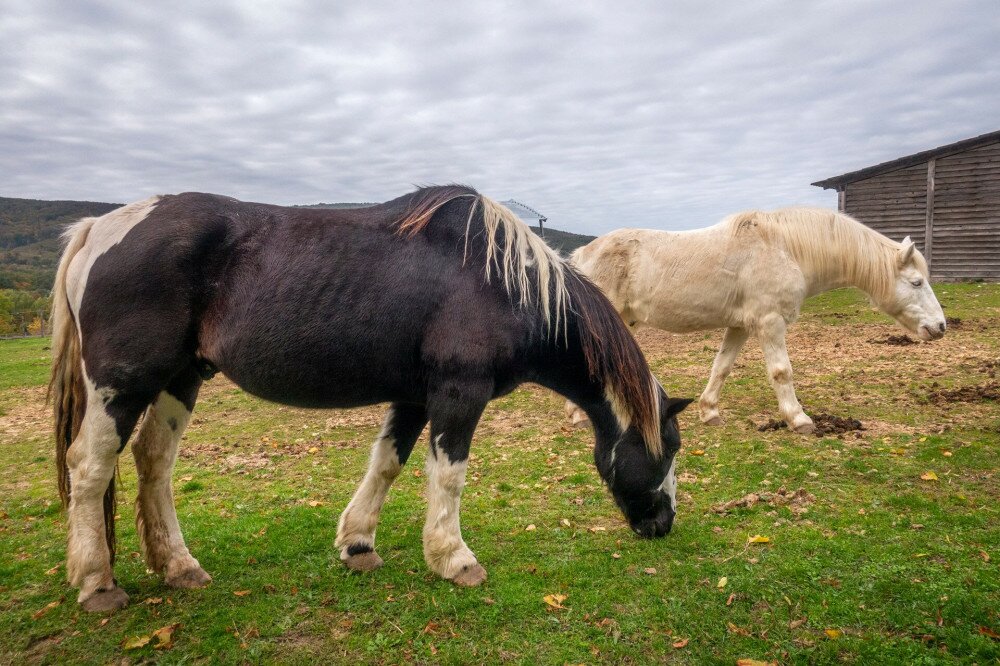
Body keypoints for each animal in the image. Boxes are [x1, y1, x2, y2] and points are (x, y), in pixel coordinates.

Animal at [50, 184, 692, 608]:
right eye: (670, 450)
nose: (663, 524)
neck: (503, 283)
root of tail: (96, 229)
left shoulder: (414, 398)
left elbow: (386, 464)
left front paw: (358, 543)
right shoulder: (459, 394)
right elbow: (449, 475)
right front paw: (454, 558)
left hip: (180, 378)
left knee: (153, 463)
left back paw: (179, 566)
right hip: (123, 383)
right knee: (89, 468)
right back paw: (97, 582)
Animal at [568, 209, 948, 436]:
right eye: (917, 282)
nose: (941, 327)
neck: (784, 248)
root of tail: (582, 254)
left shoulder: (740, 326)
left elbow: (721, 367)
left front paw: (709, 412)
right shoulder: (769, 323)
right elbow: (781, 373)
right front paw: (799, 419)